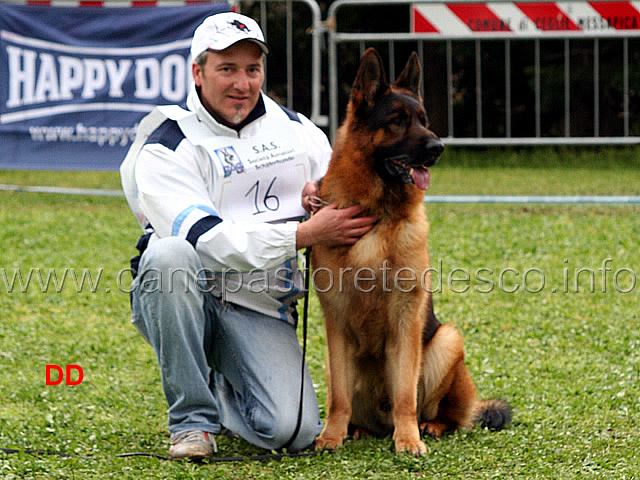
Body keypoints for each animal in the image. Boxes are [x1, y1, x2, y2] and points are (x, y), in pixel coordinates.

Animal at [312, 49, 512, 458]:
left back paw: (429, 426)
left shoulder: (406, 320)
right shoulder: (336, 323)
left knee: (448, 415)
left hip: (447, 340)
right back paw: (356, 429)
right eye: (397, 121)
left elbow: (406, 391)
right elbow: (338, 396)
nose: (439, 148)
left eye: (423, 120)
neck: (379, 214)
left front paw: (407, 439)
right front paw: (331, 436)